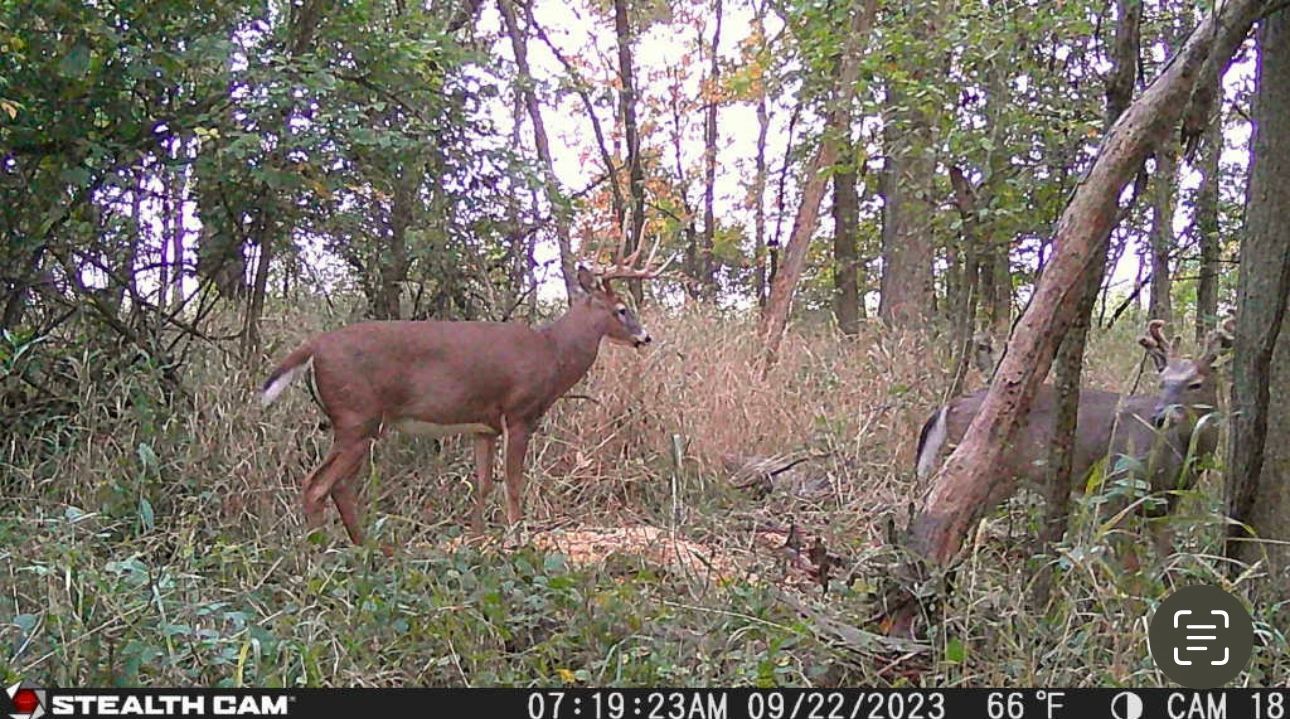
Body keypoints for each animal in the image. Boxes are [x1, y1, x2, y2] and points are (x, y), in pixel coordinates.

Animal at [259, 249, 670, 553]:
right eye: (621, 309)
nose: (646, 336)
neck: (552, 354)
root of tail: (314, 348)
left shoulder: (483, 426)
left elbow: (484, 482)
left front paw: (476, 541)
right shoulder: (519, 413)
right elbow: (514, 481)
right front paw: (517, 540)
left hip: (362, 423)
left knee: (340, 487)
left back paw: (368, 549)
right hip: (355, 415)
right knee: (317, 484)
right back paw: (318, 553)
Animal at [914, 318, 1234, 561]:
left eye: (1195, 384)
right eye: (1162, 382)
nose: (1159, 416)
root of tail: (949, 406)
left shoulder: (1164, 506)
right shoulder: (1116, 487)